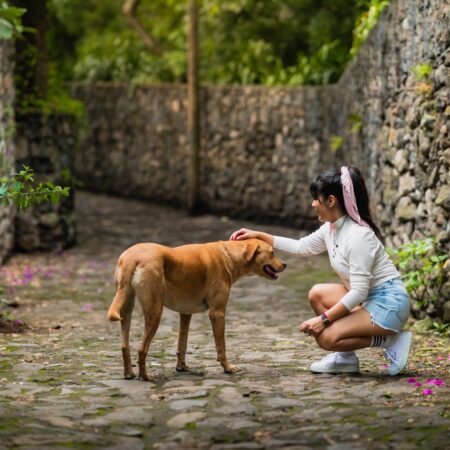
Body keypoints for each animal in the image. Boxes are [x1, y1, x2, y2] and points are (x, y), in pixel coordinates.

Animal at [106, 237, 284, 382]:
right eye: (272, 252)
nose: (285, 265)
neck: (228, 255)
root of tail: (132, 257)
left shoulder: (185, 313)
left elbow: (182, 344)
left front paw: (181, 367)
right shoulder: (217, 313)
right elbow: (221, 347)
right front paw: (228, 368)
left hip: (126, 310)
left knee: (125, 345)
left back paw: (129, 374)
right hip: (155, 312)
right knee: (142, 349)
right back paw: (146, 378)